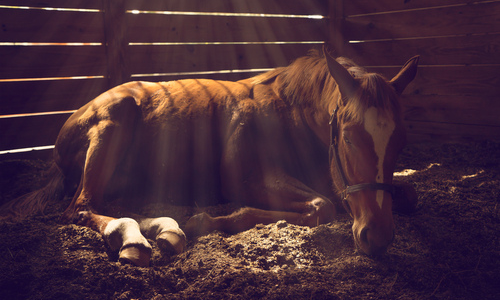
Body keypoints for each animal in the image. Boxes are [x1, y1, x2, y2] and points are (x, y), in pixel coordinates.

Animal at [1, 49, 420, 268]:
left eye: (401, 140)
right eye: (348, 136)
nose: (377, 237)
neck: (289, 111)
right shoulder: (248, 179)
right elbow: (322, 207)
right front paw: (212, 220)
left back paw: (165, 230)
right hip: (112, 124)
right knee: (82, 208)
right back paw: (137, 241)